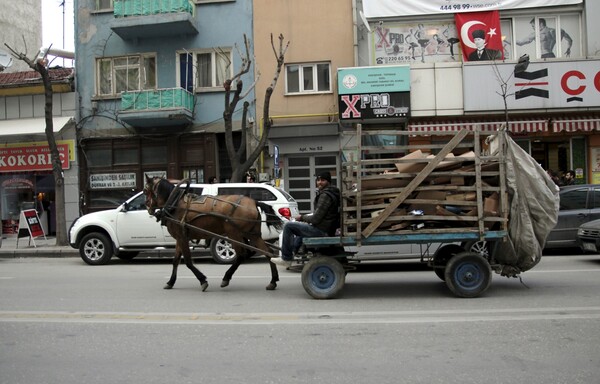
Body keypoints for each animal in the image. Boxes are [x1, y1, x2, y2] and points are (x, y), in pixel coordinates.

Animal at [145, 176, 284, 292]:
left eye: (145, 191)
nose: (147, 207)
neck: (174, 204)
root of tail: (254, 202)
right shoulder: (179, 238)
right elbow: (175, 261)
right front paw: (170, 282)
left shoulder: (182, 237)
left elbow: (188, 262)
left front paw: (203, 281)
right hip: (252, 234)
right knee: (268, 253)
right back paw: (273, 281)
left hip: (234, 233)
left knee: (241, 255)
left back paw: (226, 278)